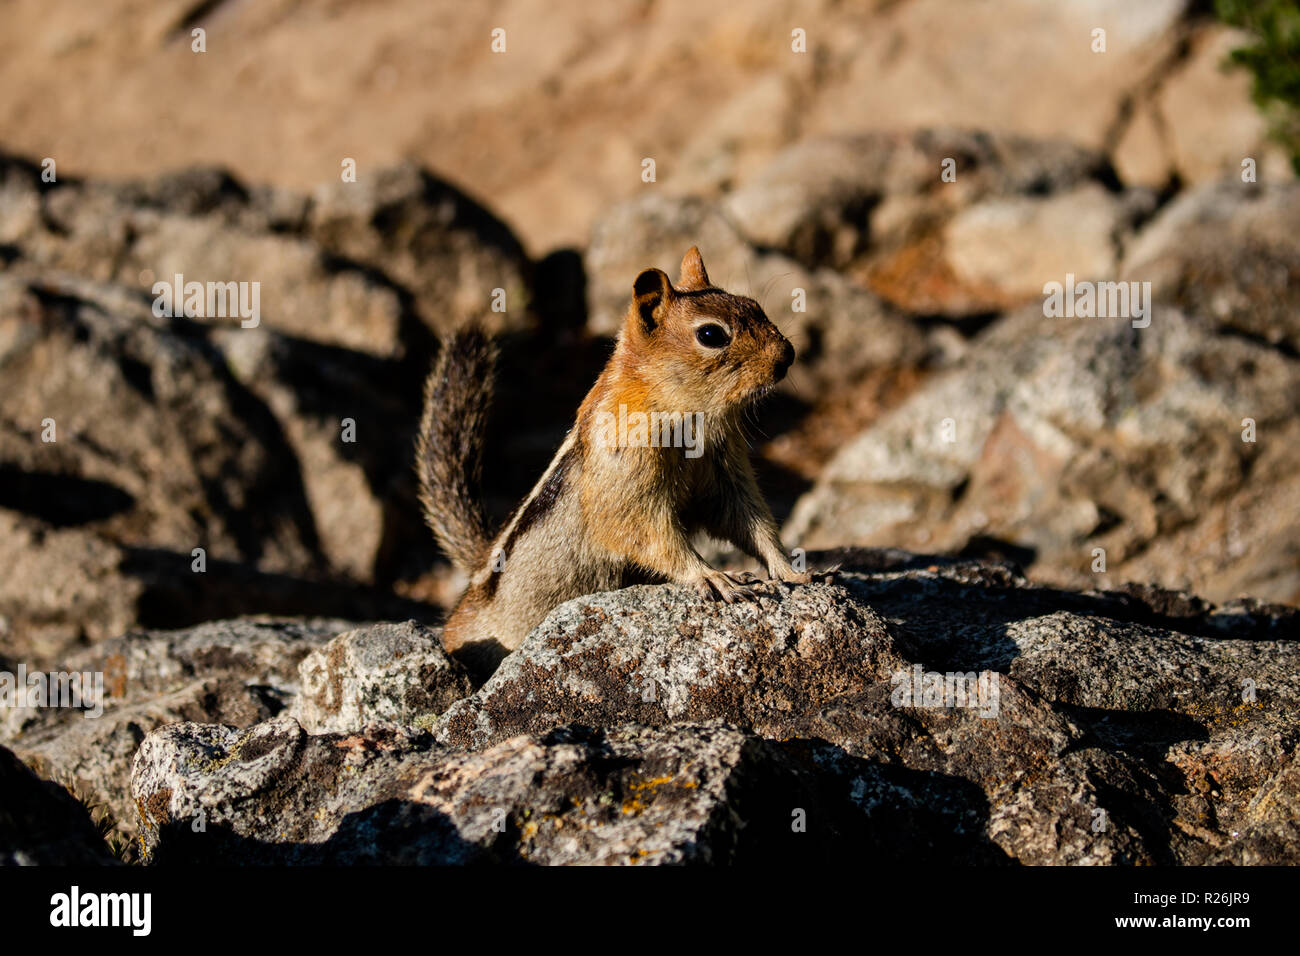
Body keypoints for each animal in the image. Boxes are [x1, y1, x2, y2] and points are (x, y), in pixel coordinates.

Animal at [416, 244, 806, 671]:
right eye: (710, 334)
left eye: (754, 305)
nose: (787, 355)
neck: (688, 412)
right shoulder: (628, 473)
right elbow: (645, 532)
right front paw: (712, 576)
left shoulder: (724, 470)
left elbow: (749, 520)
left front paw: (792, 572)